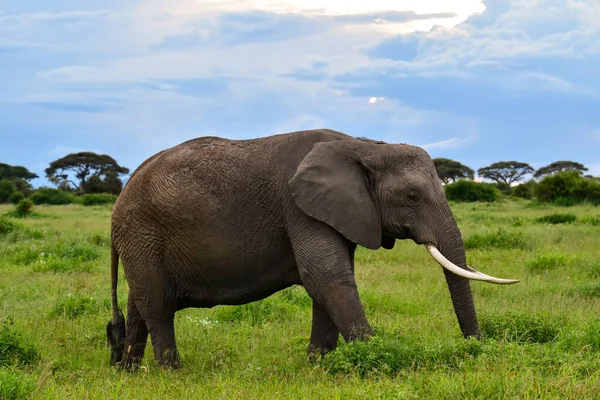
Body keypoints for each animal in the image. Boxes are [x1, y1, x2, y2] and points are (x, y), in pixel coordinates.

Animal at [105, 128, 516, 368]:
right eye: (412, 197)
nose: (476, 349)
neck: (364, 146)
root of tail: (121, 195)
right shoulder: (299, 207)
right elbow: (326, 276)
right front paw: (374, 359)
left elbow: (326, 282)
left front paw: (319, 367)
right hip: (144, 233)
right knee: (158, 306)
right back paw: (171, 372)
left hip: (141, 240)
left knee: (139, 305)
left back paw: (128, 371)